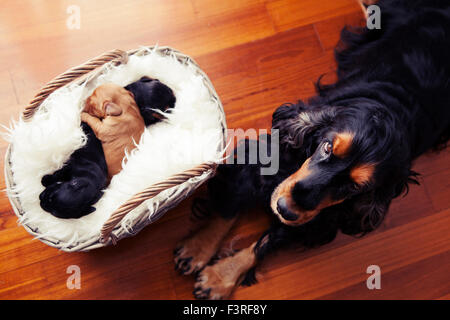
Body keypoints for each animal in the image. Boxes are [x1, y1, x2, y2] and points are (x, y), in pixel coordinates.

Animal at [173, 0, 450, 300]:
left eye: (355, 188)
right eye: (327, 147)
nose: (284, 209)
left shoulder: (318, 219)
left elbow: (267, 241)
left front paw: (220, 277)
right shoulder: (259, 160)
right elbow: (229, 208)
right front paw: (198, 248)